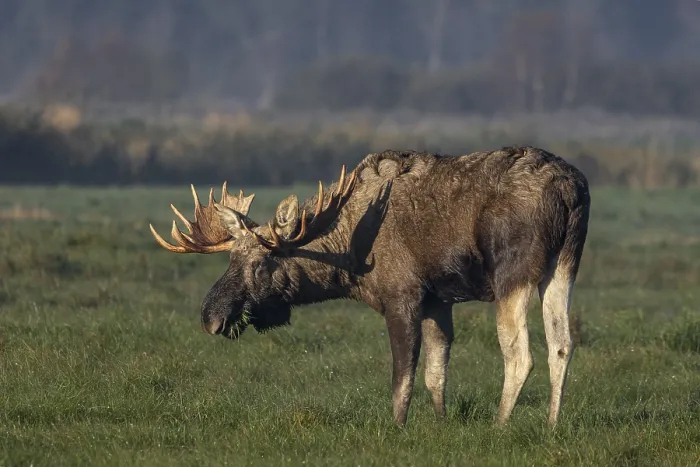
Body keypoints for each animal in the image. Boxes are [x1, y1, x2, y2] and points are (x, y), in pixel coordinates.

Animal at [149, 146, 590, 427]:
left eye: (262, 263)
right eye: (231, 260)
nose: (211, 317)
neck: (347, 257)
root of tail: (571, 190)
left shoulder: (402, 297)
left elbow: (402, 379)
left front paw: (398, 428)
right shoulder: (438, 300)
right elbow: (436, 373)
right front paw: (442, 424)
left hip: (512, 274)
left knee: (520, 354)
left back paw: (500, 425)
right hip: (564, 266)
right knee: (562, 344)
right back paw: (552, 425)